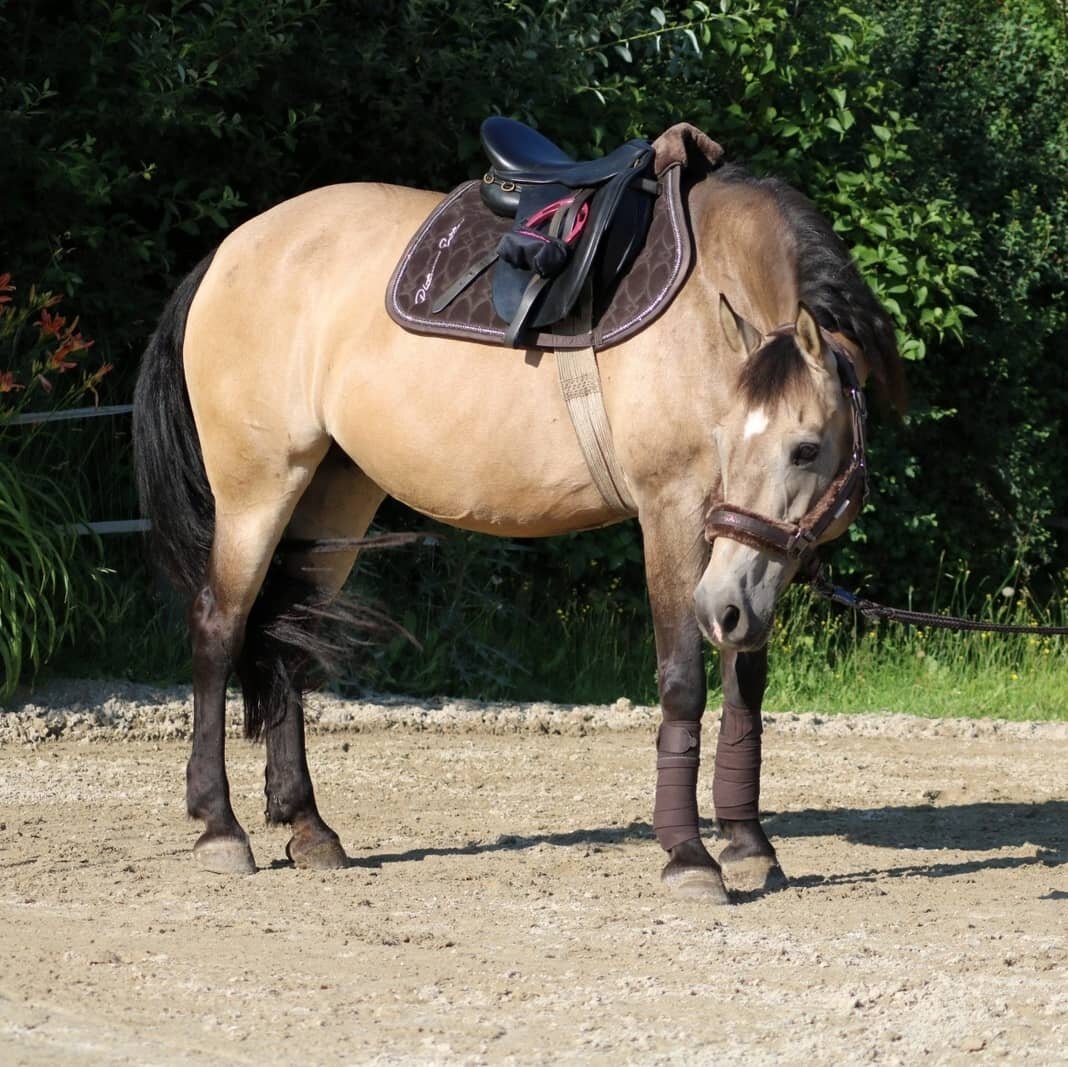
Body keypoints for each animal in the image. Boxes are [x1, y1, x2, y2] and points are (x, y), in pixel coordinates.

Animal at [133, 121, 901, 901]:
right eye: (763, 444)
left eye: (806, 450)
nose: (723, 608)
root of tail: (232, 250)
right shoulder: (673, 514)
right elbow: (683, 681)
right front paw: (689, 855)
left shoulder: (747, 557)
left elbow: (745, 685)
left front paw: (749, 844)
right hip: (257, 491)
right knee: (219, 626)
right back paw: (219, 825)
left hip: (333, 498)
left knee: (290, 639)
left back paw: (308, 827)